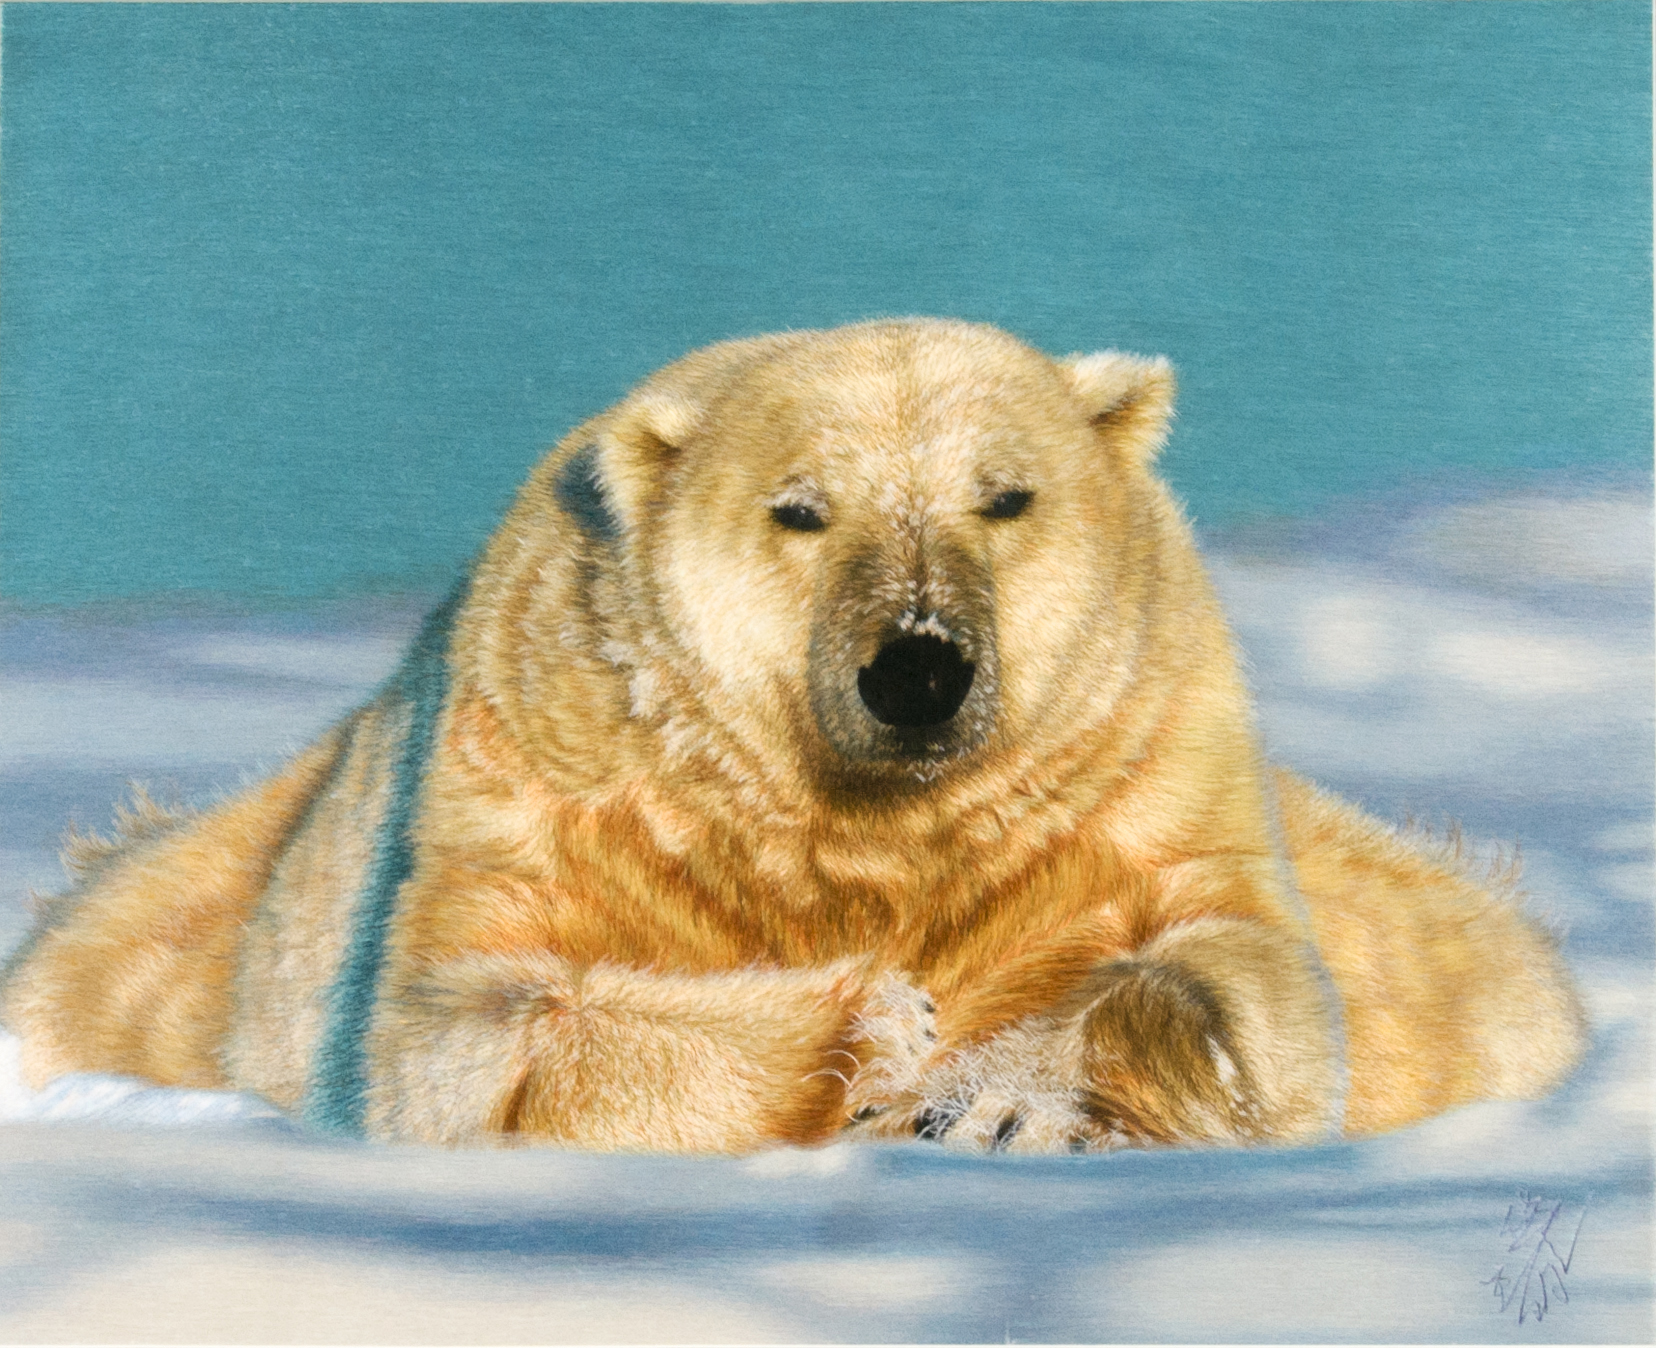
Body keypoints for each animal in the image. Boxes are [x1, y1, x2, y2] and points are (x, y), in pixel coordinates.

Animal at [1, 318, 1585, 1153]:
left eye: (1006, 495)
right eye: (800, 509)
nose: (919, 669)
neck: (869, 822)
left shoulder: (1146, 756)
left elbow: (1246, 980)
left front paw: (996, 1096)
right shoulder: (537, 772)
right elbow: (475, 1032)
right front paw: (883, 1028)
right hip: (184, 928)